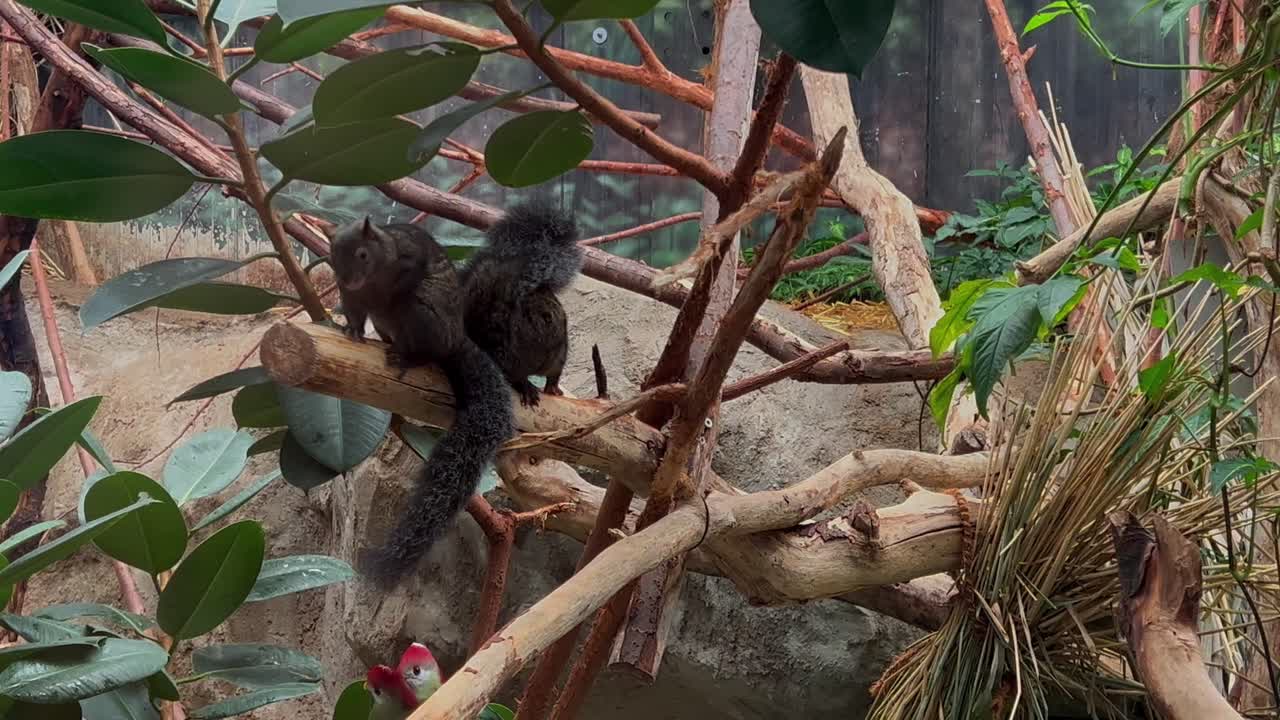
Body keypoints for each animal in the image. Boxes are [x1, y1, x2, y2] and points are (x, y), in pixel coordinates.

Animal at [328, 201, 580, 587]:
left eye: (362, 254)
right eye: (331, 258)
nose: (348, 279)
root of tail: (456, 340)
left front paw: (547, 386)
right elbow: (355, 309)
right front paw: (351, 327)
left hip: (423, 318)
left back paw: (409, 354)